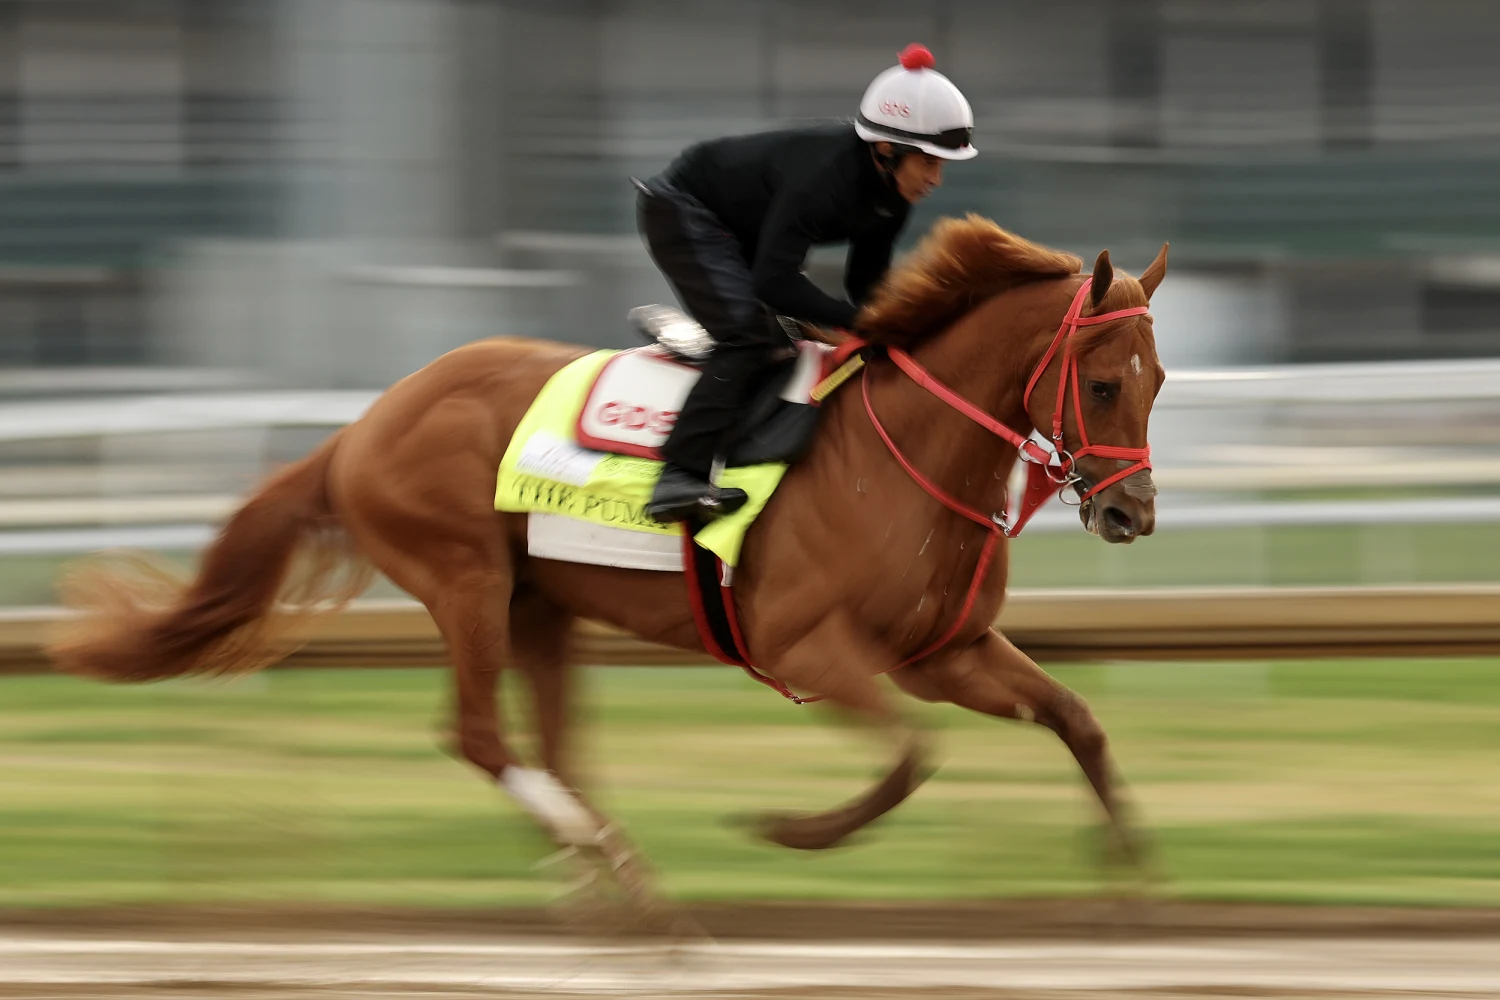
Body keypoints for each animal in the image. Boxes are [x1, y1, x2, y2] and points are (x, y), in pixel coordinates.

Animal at [46, 214, 1169, 920]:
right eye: (1103, 383)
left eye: (1159, 381)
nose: (1130, 512)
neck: (903, 452)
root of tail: (363, 426)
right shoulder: (808, 644)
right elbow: (907, 761)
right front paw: (790, 831)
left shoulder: (945, 650)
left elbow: (1076, 718)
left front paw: (1128, 873)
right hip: (466, 581)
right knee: (481, 737)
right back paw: (624, 880)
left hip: (540, 604)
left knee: (555, 750)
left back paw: (608, 885)